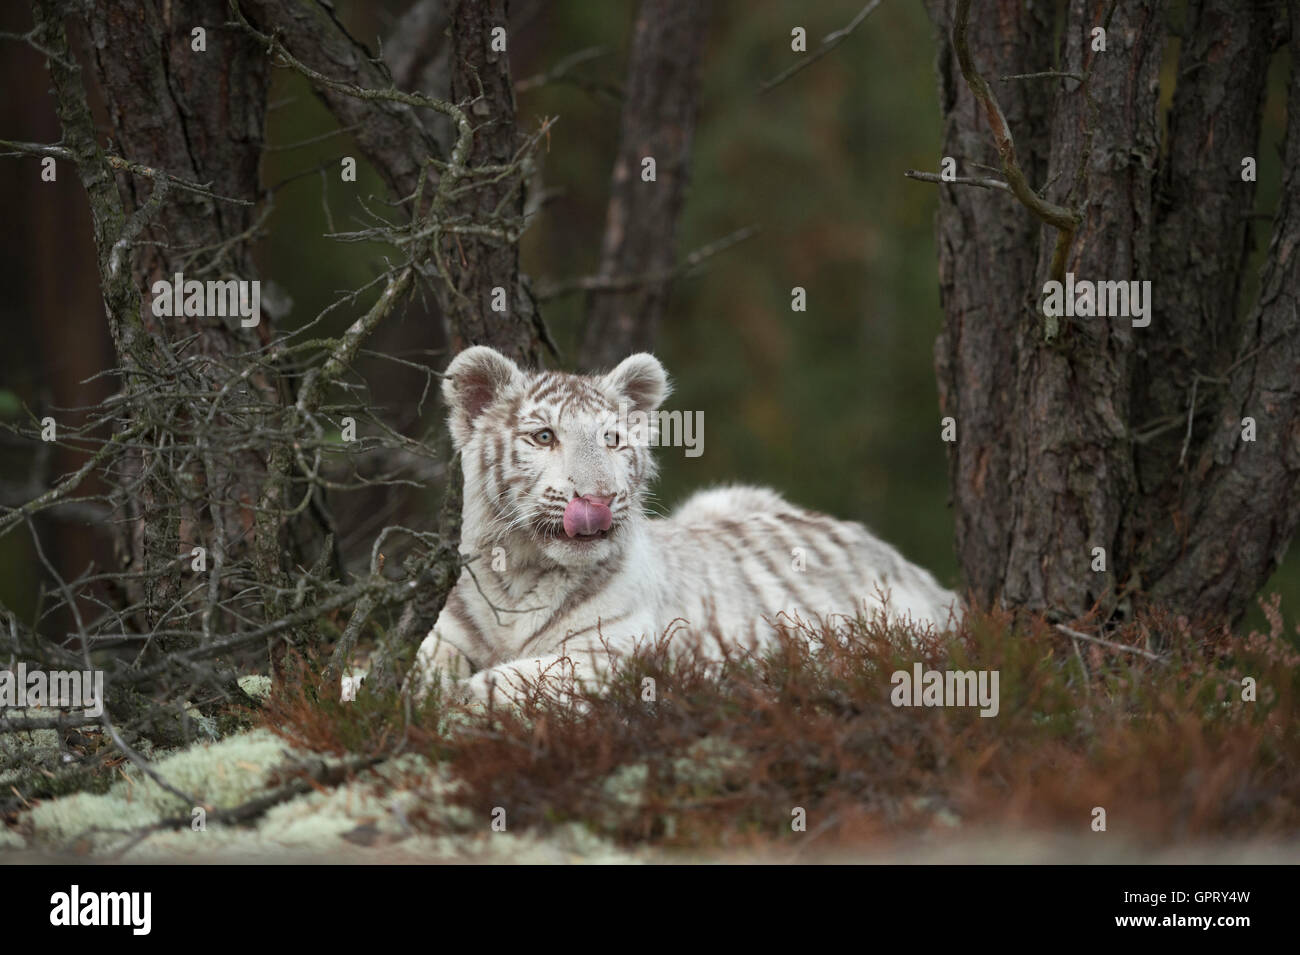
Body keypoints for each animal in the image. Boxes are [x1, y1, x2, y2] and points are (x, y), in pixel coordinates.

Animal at [410, 348, 961, 706]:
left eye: (612, 440)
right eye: (544, 436)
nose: (598, 499)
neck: (520, 571)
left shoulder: (607, 654)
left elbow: (503, 682)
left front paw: (450, 709)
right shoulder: (445, 637)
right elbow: (408, 668)